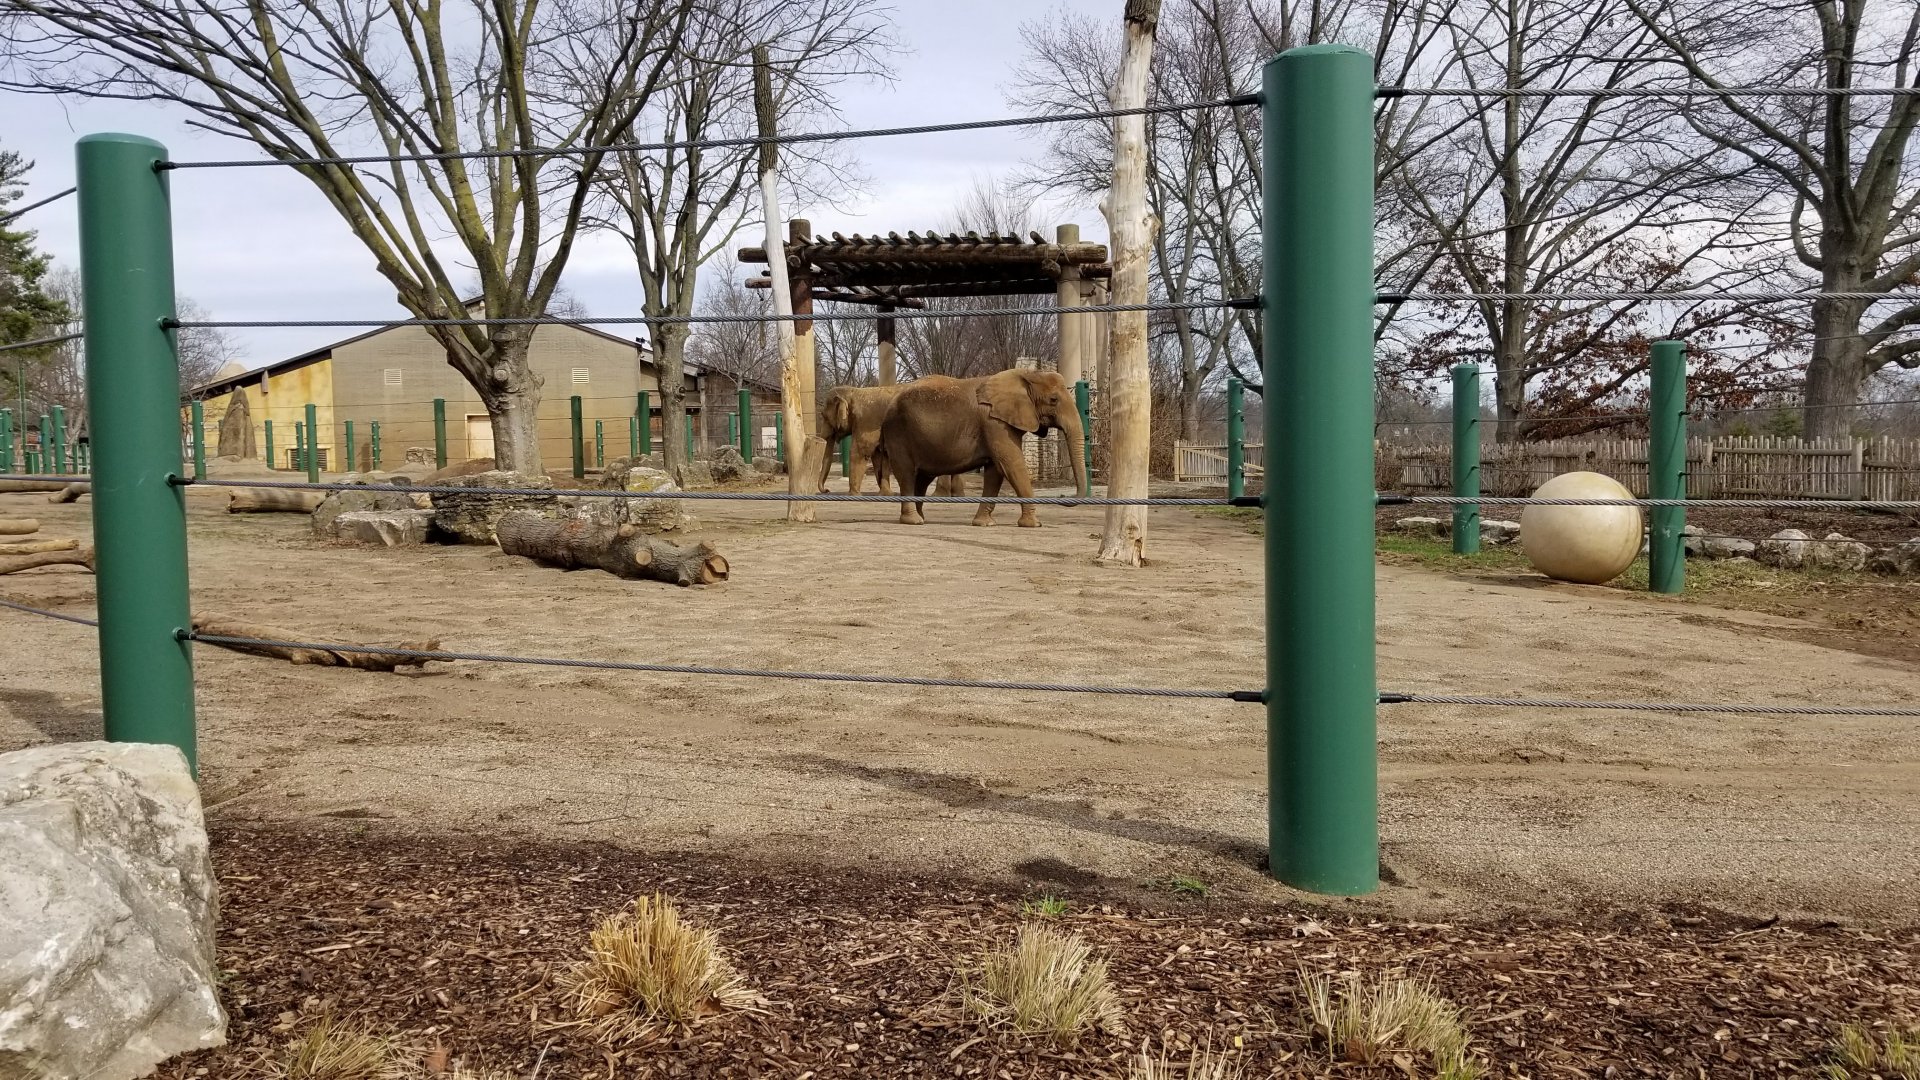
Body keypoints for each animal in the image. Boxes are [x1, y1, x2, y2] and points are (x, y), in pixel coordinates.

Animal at [880, 367, 1087, 527]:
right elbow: (1011, 464)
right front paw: (1034, 524)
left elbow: (995, 471)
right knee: (907, 474)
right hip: (898, 433)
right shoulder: (994, 423)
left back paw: (921, 518)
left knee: (922, 478)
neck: (1027, 374)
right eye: (1054, 400)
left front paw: (985, 524)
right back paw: (914, 521)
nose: (1062, 497)